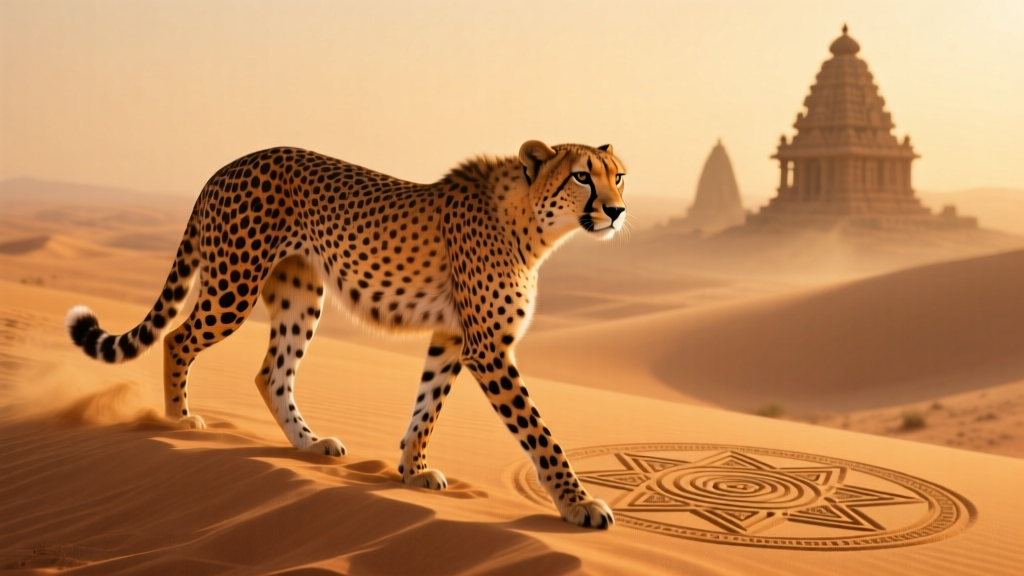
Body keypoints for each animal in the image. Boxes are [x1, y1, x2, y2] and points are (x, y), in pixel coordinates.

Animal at [66, 140, 627, 528]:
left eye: (620, 177)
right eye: (582, 177)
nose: (618, 210)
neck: (531, 221)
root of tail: (230, 164)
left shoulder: (451, 337)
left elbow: (427, 407)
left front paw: (413, 471)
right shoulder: (487, 347)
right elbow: (540, 433)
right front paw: (579, 505)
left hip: (300, 295)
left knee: (271, 373)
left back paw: (309, 444)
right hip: (234, 285)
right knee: (178, 339)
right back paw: (177, 421)